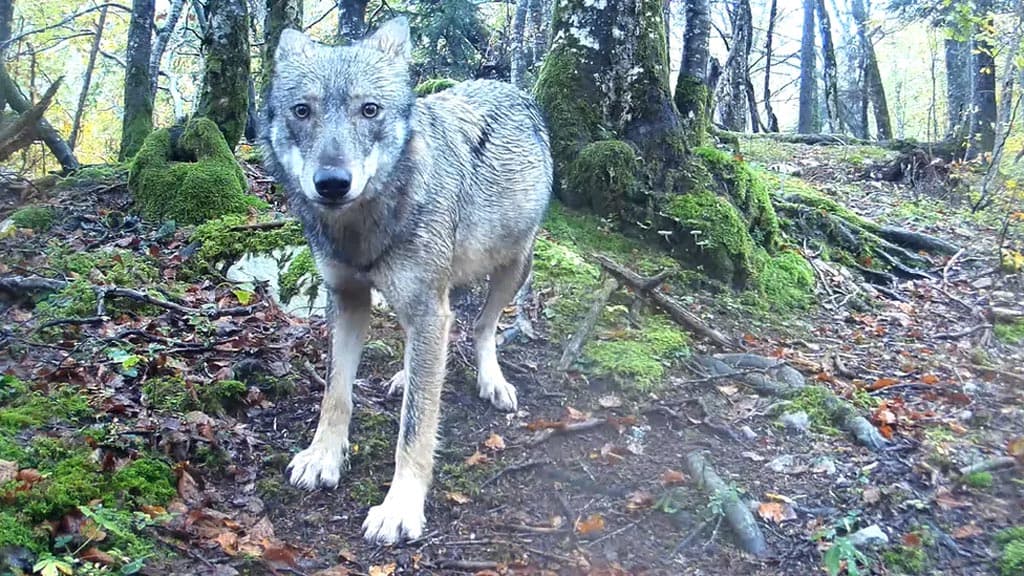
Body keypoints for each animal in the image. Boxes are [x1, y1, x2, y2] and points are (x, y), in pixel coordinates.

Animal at [260, 14, 557, 541]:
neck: (363, 226)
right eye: (302, 111)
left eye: (369, 110)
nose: (331, 183)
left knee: (480, 327)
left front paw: (400, 506)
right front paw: (323, 458)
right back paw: (405, 373)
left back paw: (492, 381)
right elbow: (336, 393)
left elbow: (416, 426)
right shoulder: (348, 299)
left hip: (511, 269)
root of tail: (511, 88)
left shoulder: (426, 308)